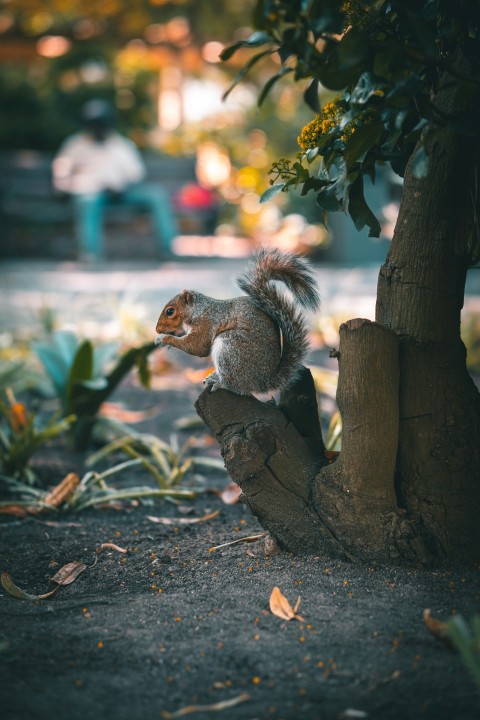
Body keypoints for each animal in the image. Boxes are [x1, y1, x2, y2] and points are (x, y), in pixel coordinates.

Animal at [155, 248, 320, 396]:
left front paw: (164, 339)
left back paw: (220, 382)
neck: (199, 310)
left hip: (230, 347)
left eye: (170, 311)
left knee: (237, 388)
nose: (157, 329)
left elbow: (197, 346)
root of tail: (262, 383)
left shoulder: (206, 323)